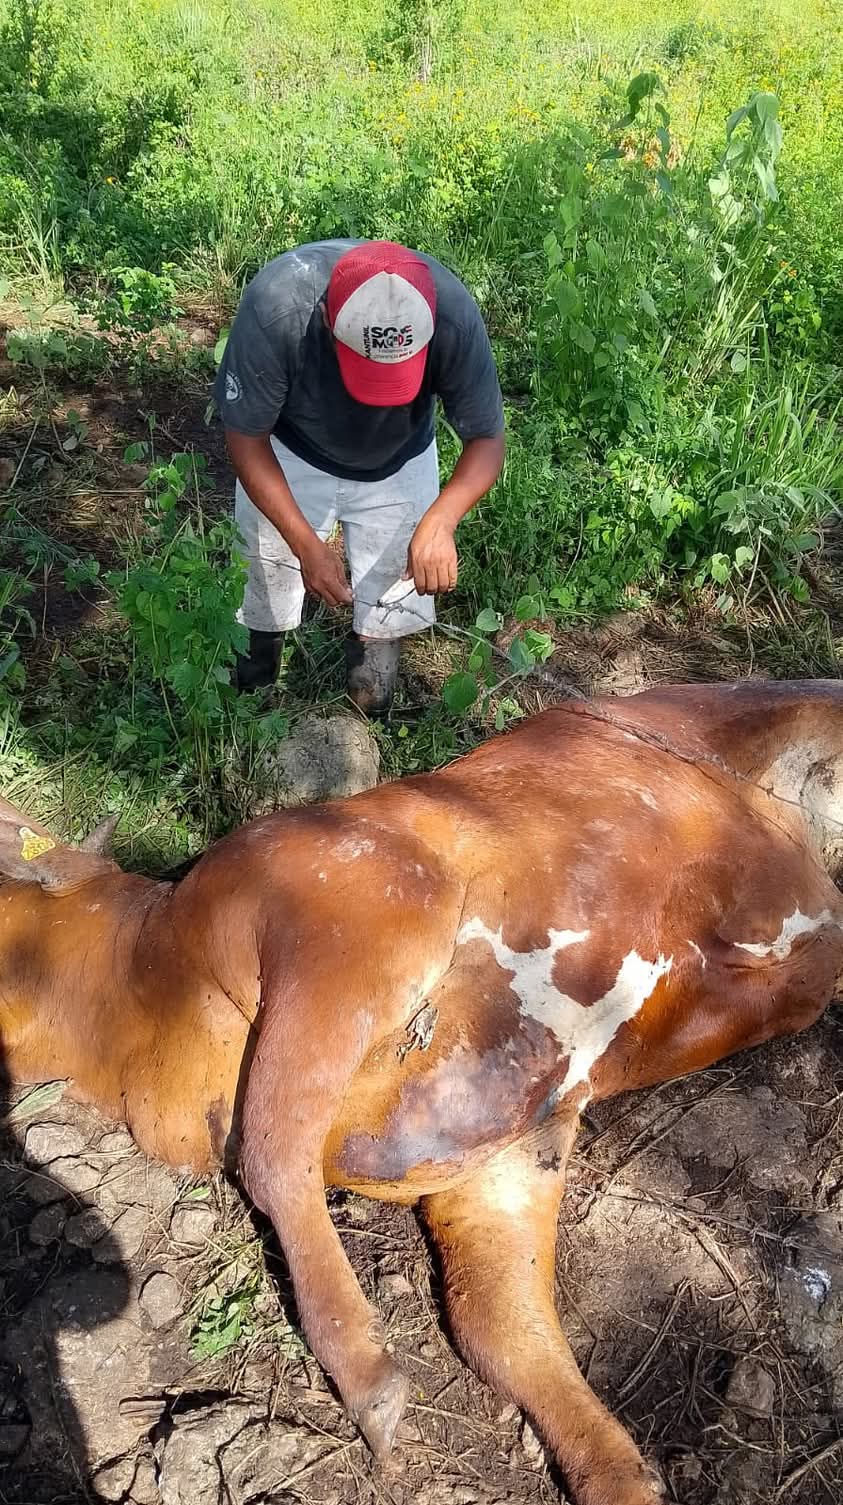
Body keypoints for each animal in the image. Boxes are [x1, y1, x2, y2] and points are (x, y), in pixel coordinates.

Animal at [1, 679, 842, 1505]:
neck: (141, 995)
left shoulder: (350, 931)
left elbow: (272, 1157)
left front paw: (367, 1378)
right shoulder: (502, 1151)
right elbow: (496, 1324)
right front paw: (616, 1474)